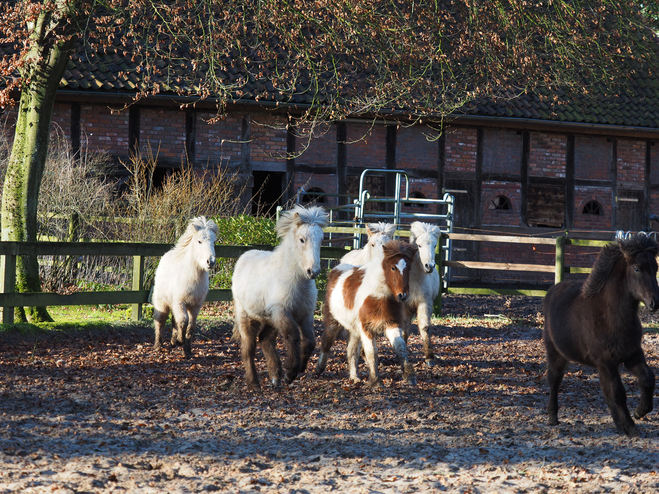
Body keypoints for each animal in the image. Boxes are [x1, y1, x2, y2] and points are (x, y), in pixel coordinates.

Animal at [232, 205, 330, 390]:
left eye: (321, 240)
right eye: (302, 239)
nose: (313, 271)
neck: (295, 281)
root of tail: (243, 257)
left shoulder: (305, 314)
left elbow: (310, 341)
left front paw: (300, 368)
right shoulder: (282, 312)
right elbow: (293, 337)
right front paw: (290, 372)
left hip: (270, 319)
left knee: (265, 340)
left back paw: (275, 377)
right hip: (247, 316)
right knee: (248, 348)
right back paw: (254, 383)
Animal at [314, 240, 418, 390]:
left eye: (408, 269)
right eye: (393, 268)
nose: (403, 295)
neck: (378, 295)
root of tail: (335, 270)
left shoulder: (392, 324)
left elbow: (401, 347)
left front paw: (410, 376)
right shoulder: (366, 328)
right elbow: (372, 352)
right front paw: (375, 381)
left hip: (353, 329)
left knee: (352, 351)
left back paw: (354, 377)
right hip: (333, 321)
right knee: (327, 342)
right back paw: (319, 368)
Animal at [404, 222, 440, 364]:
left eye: (434, 245)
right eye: (419, 245)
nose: (429, 266)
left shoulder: (424, 303)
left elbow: (425, 327)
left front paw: (429, 357)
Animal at [544, 233, 656, 436]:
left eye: (656, 267)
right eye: (637, 268)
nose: (654, 302)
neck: (610, 315)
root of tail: (552, 290)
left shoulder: (632, 354)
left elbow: (647, 379)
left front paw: (639, 412)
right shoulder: (607, 362)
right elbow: (618, 393)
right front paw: (631, 426)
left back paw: (618, 424)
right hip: (556, 353)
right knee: (554, 380)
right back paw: (553, 417)